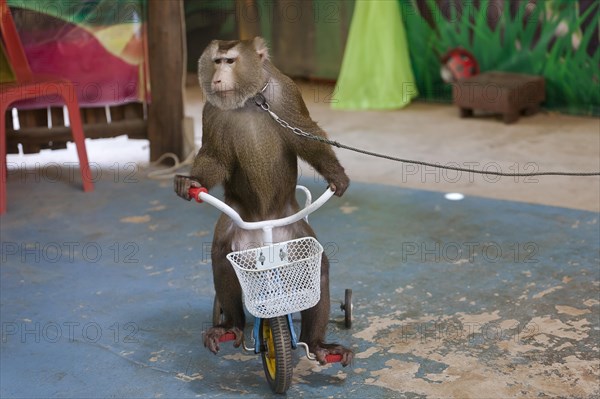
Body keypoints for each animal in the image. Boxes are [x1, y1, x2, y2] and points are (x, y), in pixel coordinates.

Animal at [173, 37, 352, 368]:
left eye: (230, 61)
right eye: (216, 61)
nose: (217, 79)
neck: (249, 101)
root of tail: (265, 228)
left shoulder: (286, 92)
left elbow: (308, 137)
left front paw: (337, 176)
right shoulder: (212, 110)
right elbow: (215, 157)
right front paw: (191, 183)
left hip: (293, 230)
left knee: (319, 267)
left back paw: (317, 344)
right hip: (238, 227)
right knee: (222, 257)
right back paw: (230, 326)